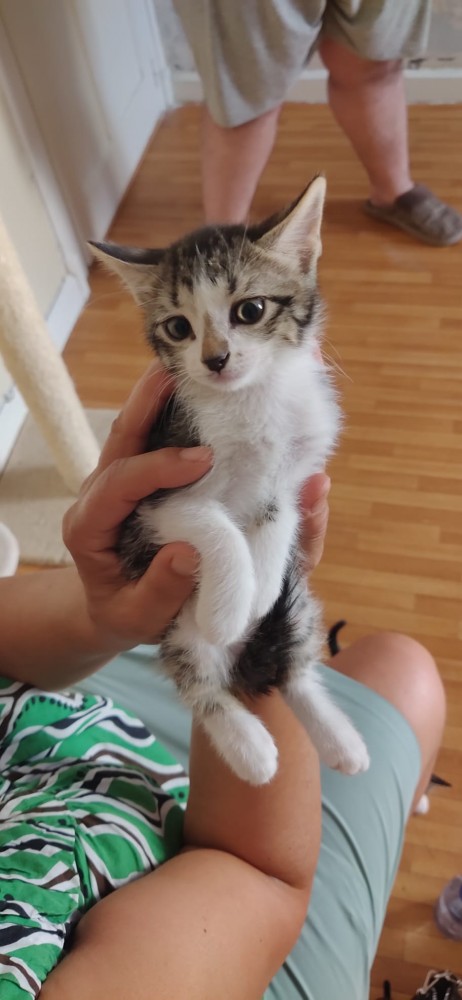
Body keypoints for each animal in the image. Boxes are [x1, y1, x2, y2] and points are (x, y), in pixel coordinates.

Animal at [91, 176, 370, 785]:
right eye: (178, 327)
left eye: (251, 309)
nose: (215, 359)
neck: (250, 400)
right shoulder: (148, 499)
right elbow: (214, 525)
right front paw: (229, 607)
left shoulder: (294, 470)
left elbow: (275, 518)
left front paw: (259, 588)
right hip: (177, 628)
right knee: (197, 678)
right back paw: (250, 747)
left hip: (297, 606)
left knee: (295, 670)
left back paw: (339, 739)